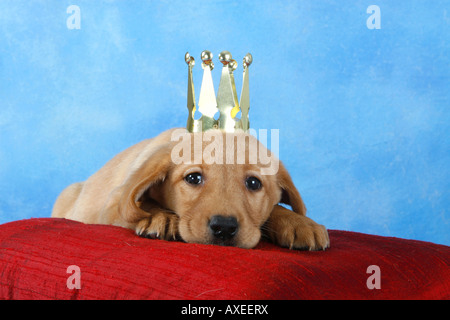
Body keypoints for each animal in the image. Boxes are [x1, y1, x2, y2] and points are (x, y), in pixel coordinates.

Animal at [52, 127, 328, 250]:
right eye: (193, 178)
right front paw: (160, 217)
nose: (224, 228)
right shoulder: (112, 204)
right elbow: (137, 205)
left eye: (253, 183)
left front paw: (299, 222)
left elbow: (274, 209)